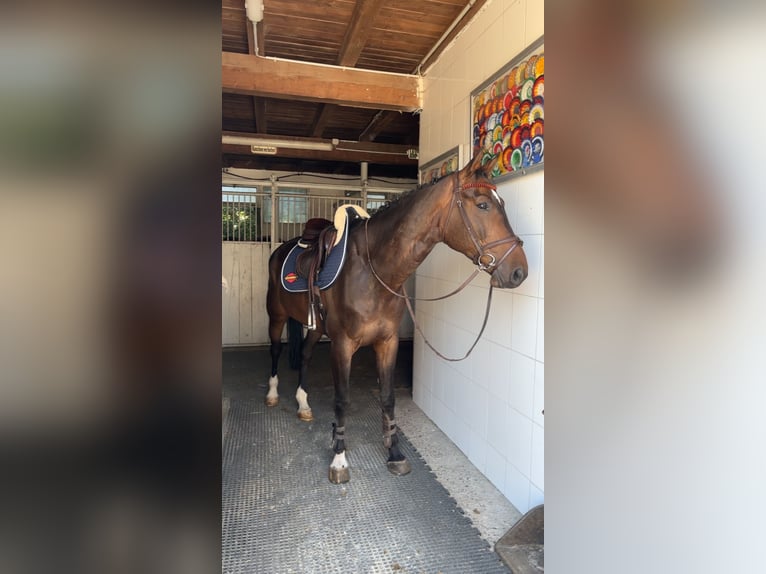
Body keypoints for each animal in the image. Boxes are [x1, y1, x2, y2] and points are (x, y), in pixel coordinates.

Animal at [265, 153, 528, 483]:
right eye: (483, 205)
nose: (519, 271)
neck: (373, 269)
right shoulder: (342, 345)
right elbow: (342, 399)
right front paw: (339, 458)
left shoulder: (387, 341)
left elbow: (388, 397)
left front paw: (395, 453)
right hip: (276, 315)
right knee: (275, 349)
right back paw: (273, 394)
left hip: (315, 327)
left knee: (306, 355)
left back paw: (303, 404)